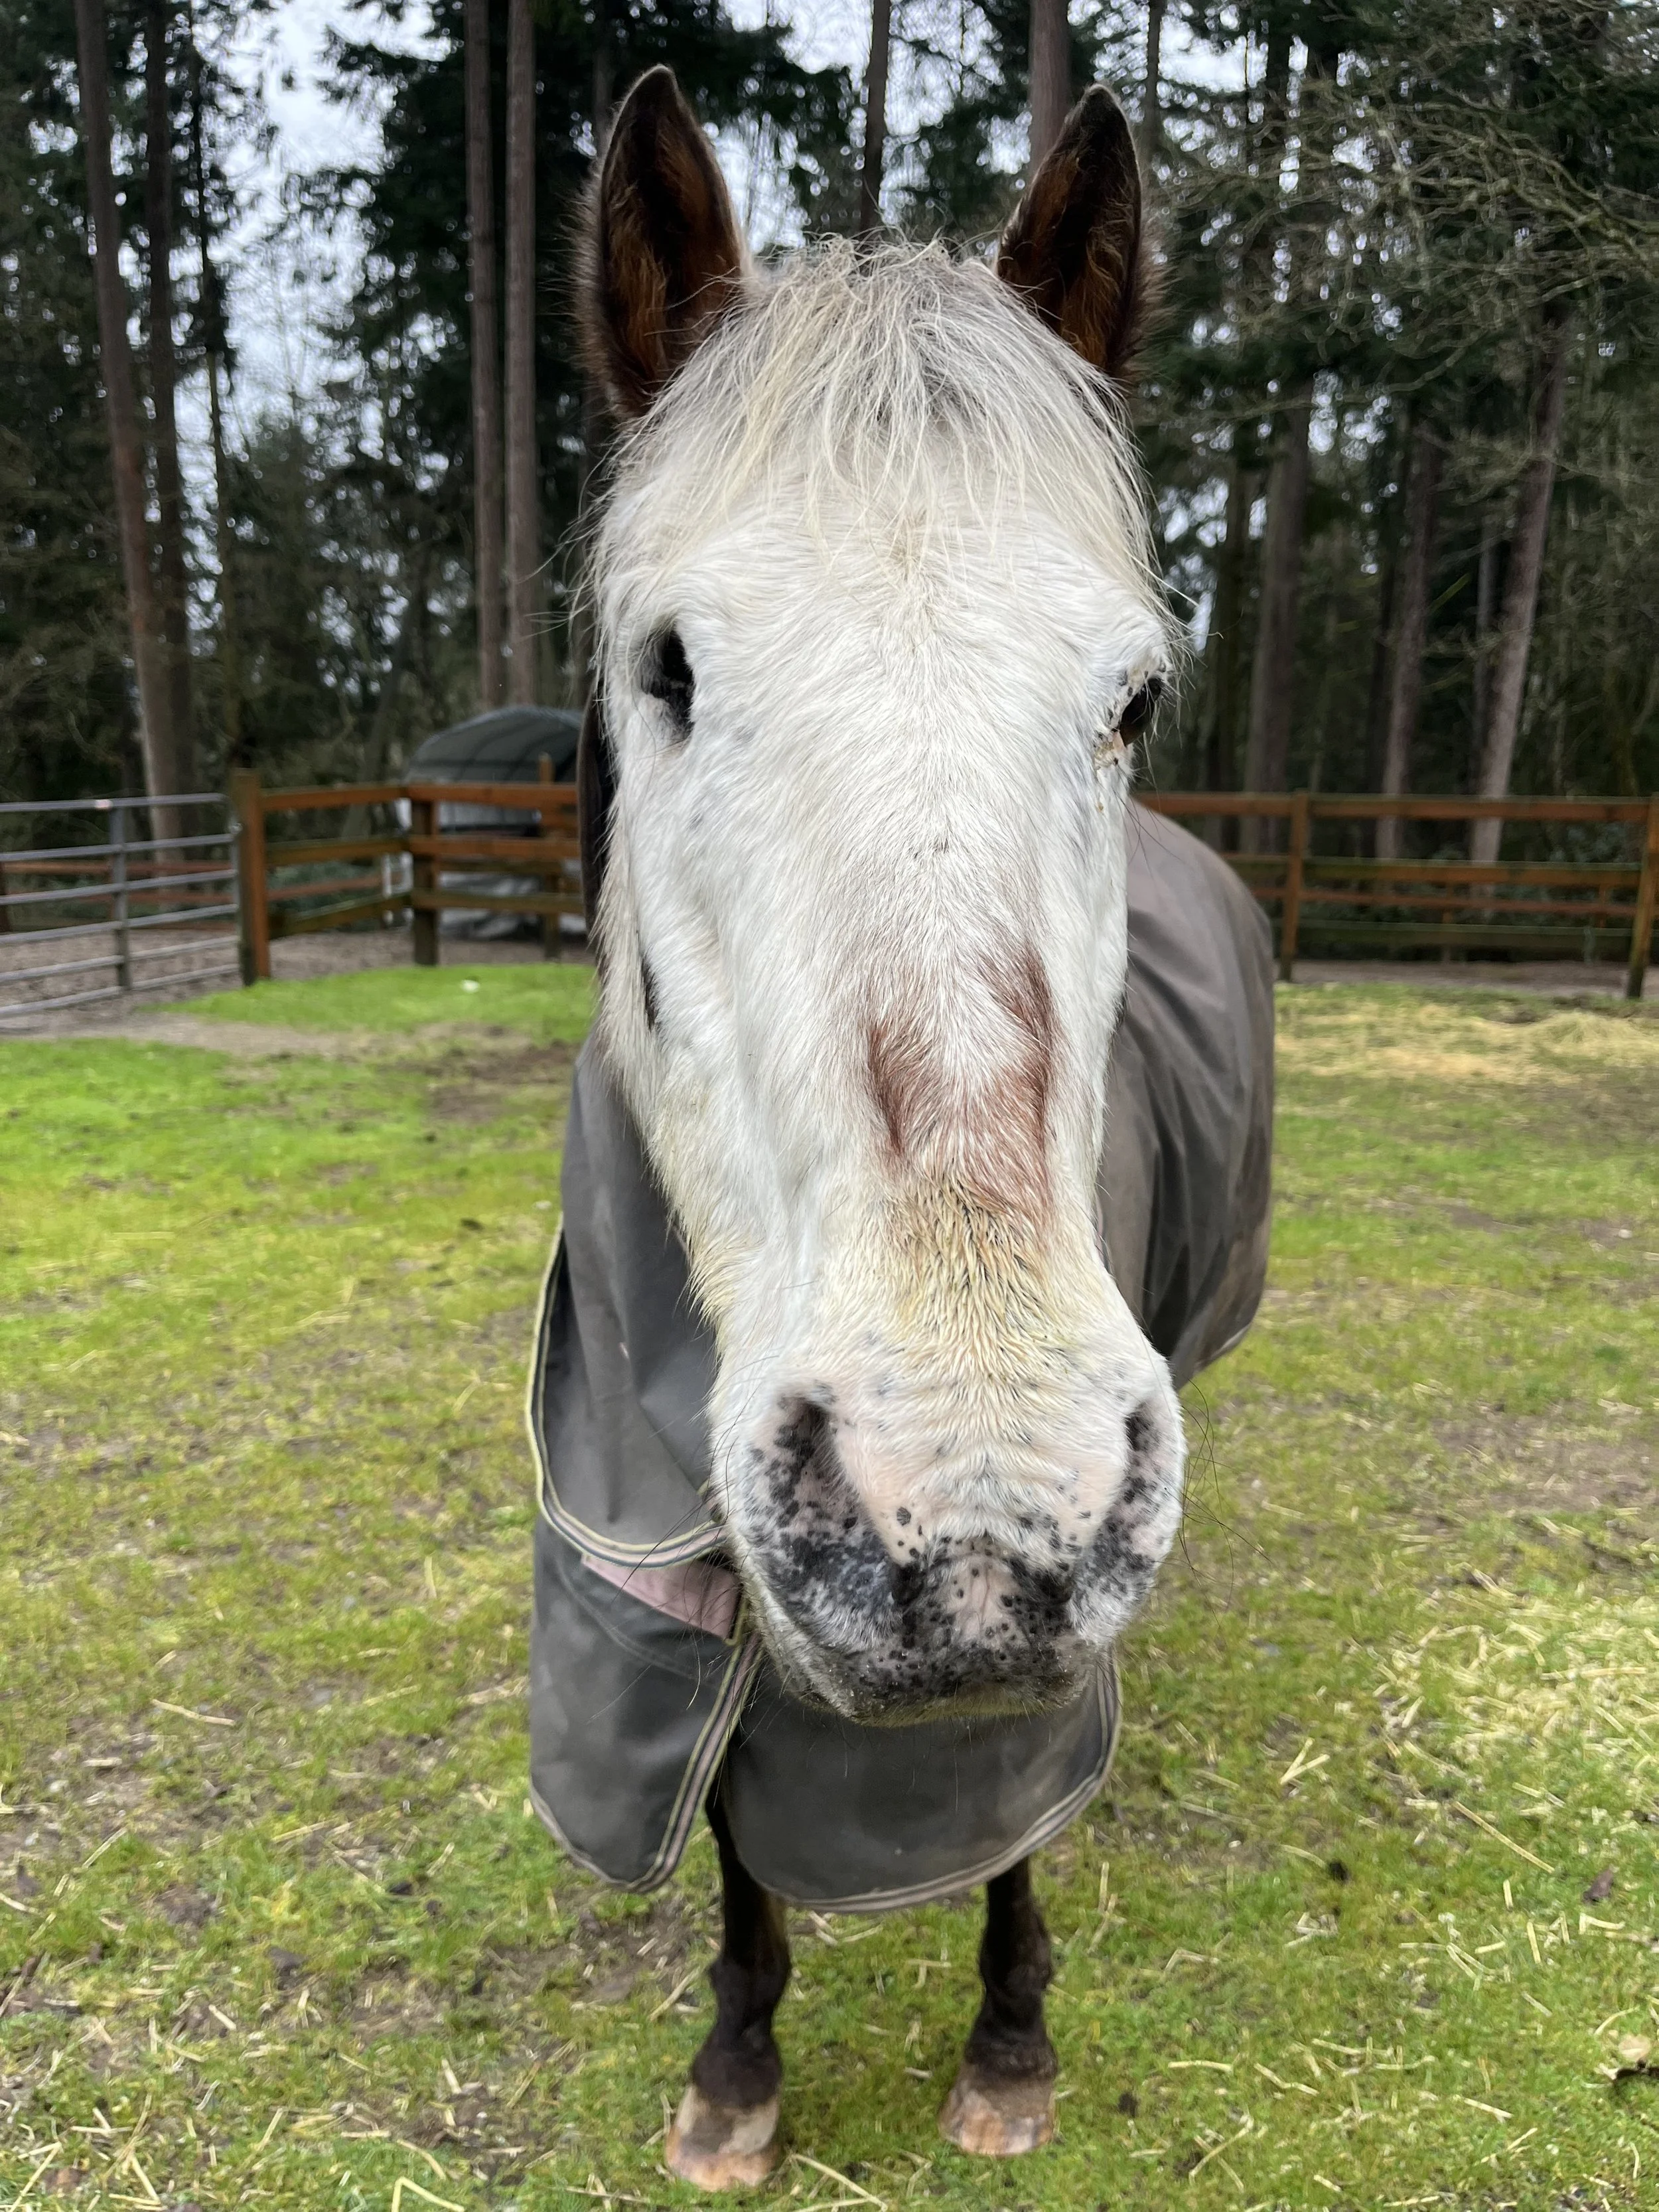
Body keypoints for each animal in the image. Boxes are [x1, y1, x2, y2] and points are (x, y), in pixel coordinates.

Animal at [526, 66, 1274, 2187]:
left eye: (1135, 696)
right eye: (667, 667)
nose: (982, 1525)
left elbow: (1015, 1827)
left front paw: (1011, 2045)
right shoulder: (666, 1550)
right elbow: (729, 1842)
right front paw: (734, 2074)